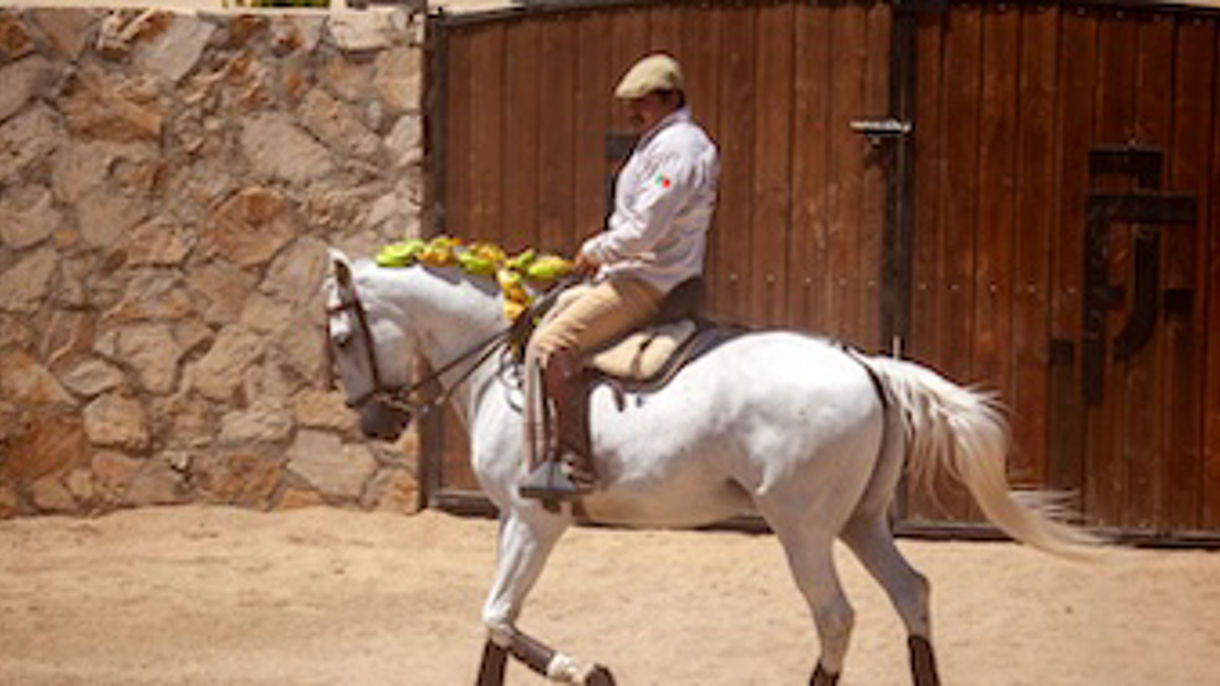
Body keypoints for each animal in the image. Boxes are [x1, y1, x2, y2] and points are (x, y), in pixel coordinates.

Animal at [322, 248, 1093, 686]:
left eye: (340, 337)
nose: (375, 422)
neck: (499, 360)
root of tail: (867, 364)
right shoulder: (513, 523)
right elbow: (495, 626)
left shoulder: (534, 520)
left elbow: (497, 618)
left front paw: (590, 670)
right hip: (863, 521)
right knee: (912, 594)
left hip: (804, 528)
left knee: (836, 617)